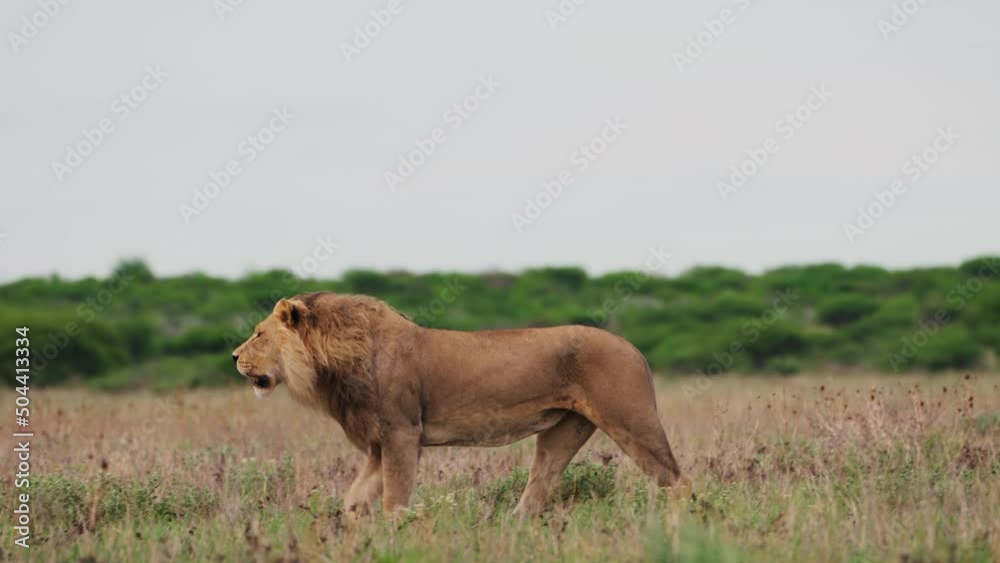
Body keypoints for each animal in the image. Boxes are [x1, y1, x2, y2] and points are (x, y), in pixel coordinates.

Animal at [232, 292, 691, 516]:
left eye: (258, 334)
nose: (235, 356)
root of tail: (634, 348)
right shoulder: (380, 444)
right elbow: (355, 499)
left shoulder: (402, 435)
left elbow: (394, 500)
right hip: (565, 431)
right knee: (538, 489)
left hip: (632, 421)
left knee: (678, 481)